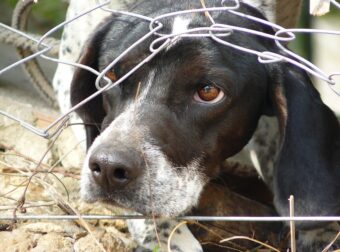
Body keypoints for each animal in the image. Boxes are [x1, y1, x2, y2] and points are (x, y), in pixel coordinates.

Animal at [52, 0, 338, 252]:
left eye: (208, 91)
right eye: (110, 77)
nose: (108, 169)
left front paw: (319, 231)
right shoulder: (65, 76)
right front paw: (169, 235)